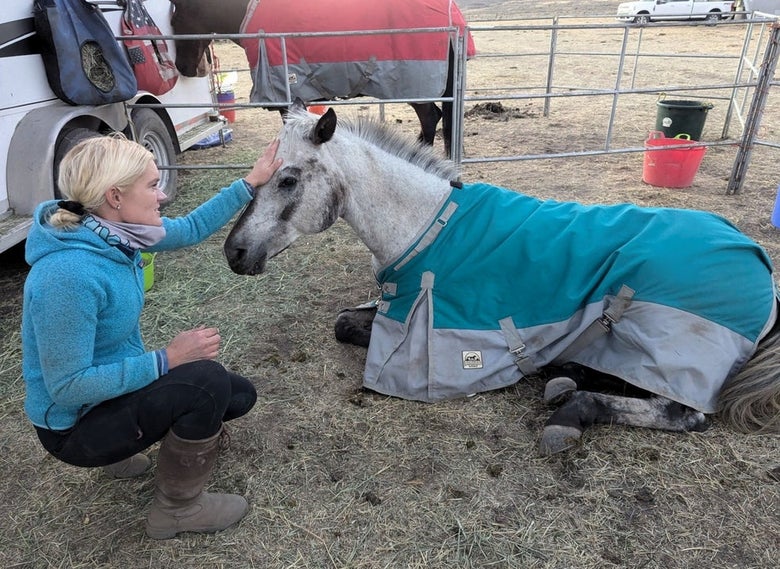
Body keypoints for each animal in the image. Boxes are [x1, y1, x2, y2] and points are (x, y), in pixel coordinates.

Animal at [223, 101, 780, 455]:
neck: (429, 225)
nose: (234, 252)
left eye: (288, 179)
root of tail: (759, 265)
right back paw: (566, 375)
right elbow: (343, 322)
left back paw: (570, 411)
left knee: (681, 413)